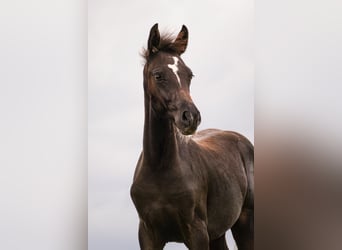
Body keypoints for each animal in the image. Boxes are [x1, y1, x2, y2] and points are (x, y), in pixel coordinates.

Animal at [131, 23, 254, 250]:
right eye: (158, 75)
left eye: (189, 75)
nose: (191, 117)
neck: (159, 167)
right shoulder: (147, 234)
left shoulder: (197, 233)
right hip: (217, 233)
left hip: (245, 222)